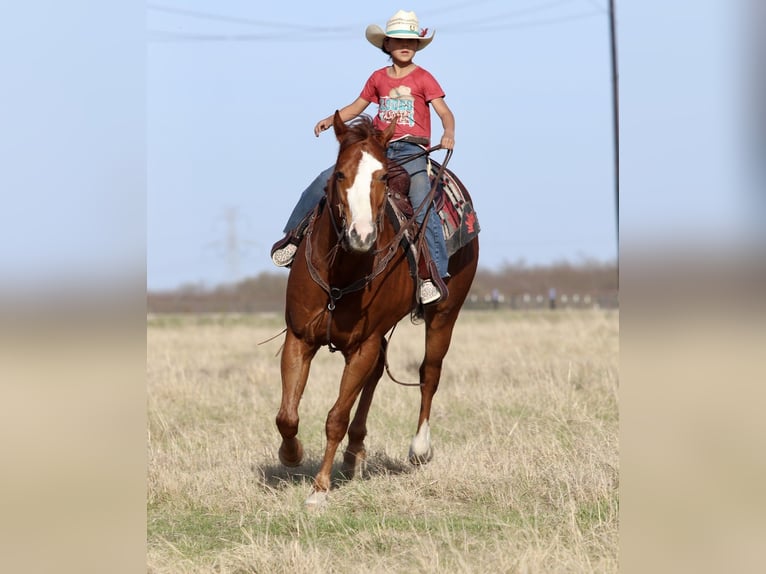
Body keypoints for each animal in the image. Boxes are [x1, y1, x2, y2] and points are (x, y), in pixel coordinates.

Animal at [276, 111, 479, 507]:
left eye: (383, 177)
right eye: (339, 174)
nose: (362, 236)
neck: (342, 271)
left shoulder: (362, 345)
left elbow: (336, 418)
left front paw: (319, 489)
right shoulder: (300, 338)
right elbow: (287, 416)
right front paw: (290, 455)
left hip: (445, 315)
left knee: (430, 372)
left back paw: (419, 447)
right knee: (376, 374)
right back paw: (354, 455)